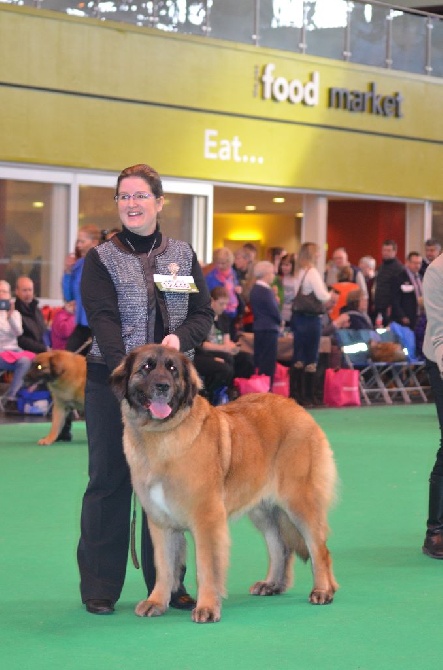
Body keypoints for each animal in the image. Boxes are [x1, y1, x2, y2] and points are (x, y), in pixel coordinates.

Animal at [112, 346, 340, 624]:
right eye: (146, 367)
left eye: (172, 369)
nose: (163, 386)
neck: (162, 434)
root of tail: (298, 408)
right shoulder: (161, 522)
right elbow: (164, 566)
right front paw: (156, 602)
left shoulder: (207, 519)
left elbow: (206, 566)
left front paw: (207, 607)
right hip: (264, 509)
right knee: (279, 545)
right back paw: (271, 584)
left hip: (299, 501)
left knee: (319, 549)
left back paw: (323, 591)